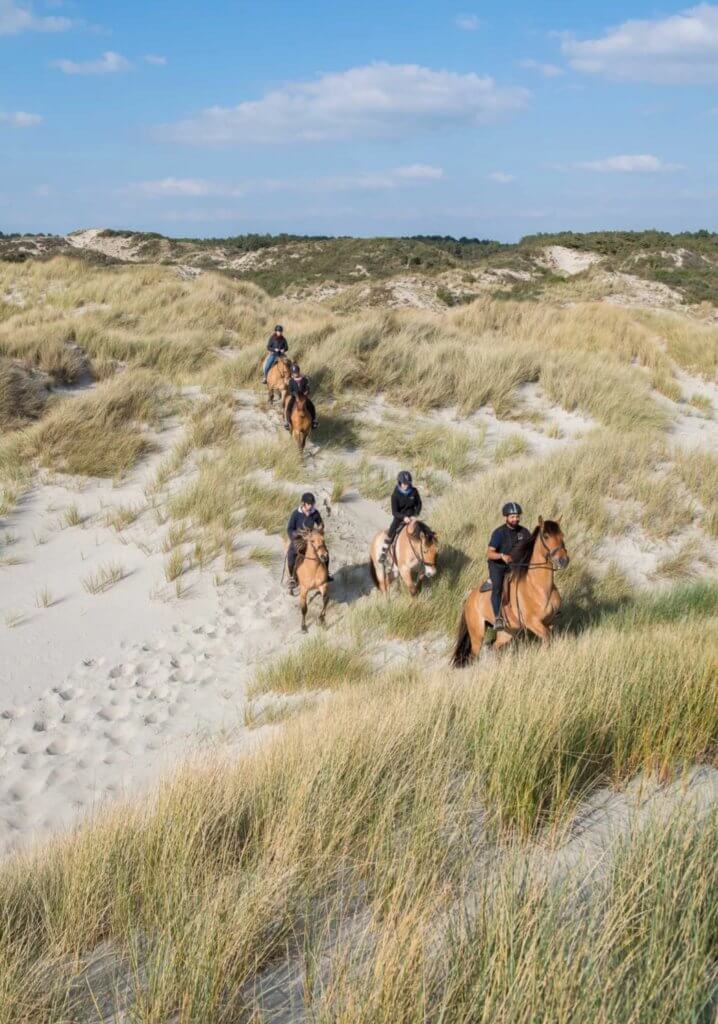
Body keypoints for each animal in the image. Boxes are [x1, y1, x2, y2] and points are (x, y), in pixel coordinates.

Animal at [450, 516, 569, 667]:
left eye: (562, 535)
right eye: (546, 535)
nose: (563, 560)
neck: (539, 587)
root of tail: (469, 599)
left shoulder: (550, 621)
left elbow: (549, 637)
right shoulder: (533, 623)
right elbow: (547, 637)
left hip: (507, 632)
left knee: (495, 646)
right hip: (477, 634)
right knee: (473, 655)